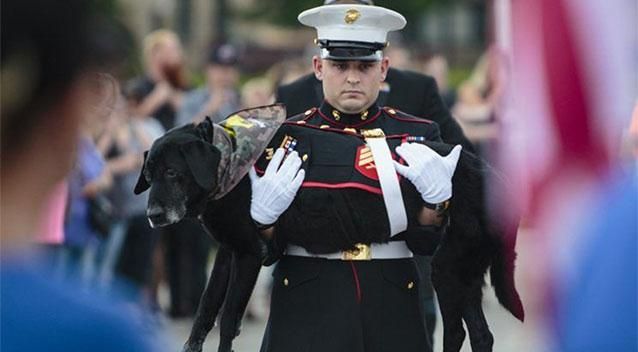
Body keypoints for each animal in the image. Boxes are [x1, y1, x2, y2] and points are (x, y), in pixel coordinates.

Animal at [134, 107, 524, 352]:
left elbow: (228, 321)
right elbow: (204, 313)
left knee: (458, 331)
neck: (232, 160)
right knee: (479, 335)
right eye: (151, 174)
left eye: (173, 172)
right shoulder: (229, 253)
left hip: (449, 268)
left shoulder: (249, 253)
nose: (153, 215)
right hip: (459, 272)